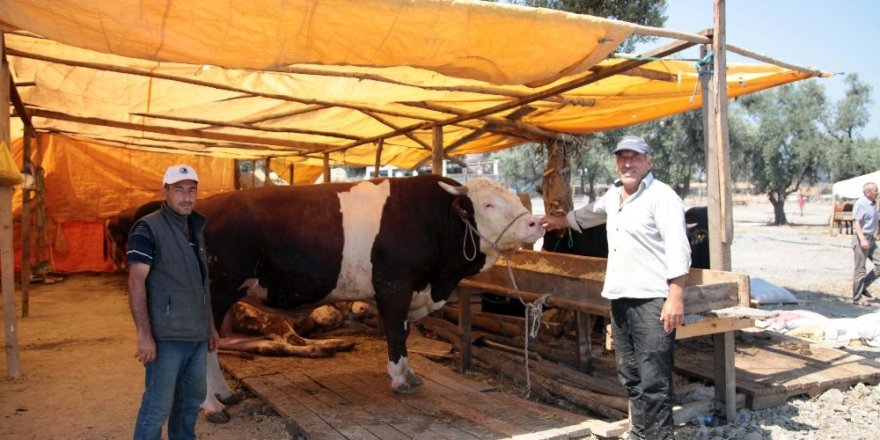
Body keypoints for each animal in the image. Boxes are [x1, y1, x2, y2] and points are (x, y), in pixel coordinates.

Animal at [198, 175, 544, 422]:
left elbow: (404, 333)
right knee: (205, 347)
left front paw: (410, 374)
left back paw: (224, 395)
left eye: (514, 197)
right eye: (487, 205)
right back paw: (213, 406)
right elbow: (395, 333)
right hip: (214, 295)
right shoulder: (394, 285)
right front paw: (399, 380)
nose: (535, 223)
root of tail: (203, 205)